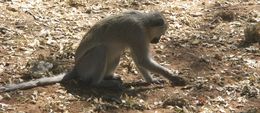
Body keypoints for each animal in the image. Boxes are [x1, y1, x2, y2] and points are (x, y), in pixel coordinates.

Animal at [0, 10, 187, 92]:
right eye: (160, 34)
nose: (157, 40)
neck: (143, 20)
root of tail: (76, 68)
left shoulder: (139, 37)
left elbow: (139, 60)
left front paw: (152, 79)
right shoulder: (137, 33)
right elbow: (142, 59)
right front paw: (172, 77)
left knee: (114, 53)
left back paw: (109, 76)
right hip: (86, 65)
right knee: (101, 51)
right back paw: (101, 83)